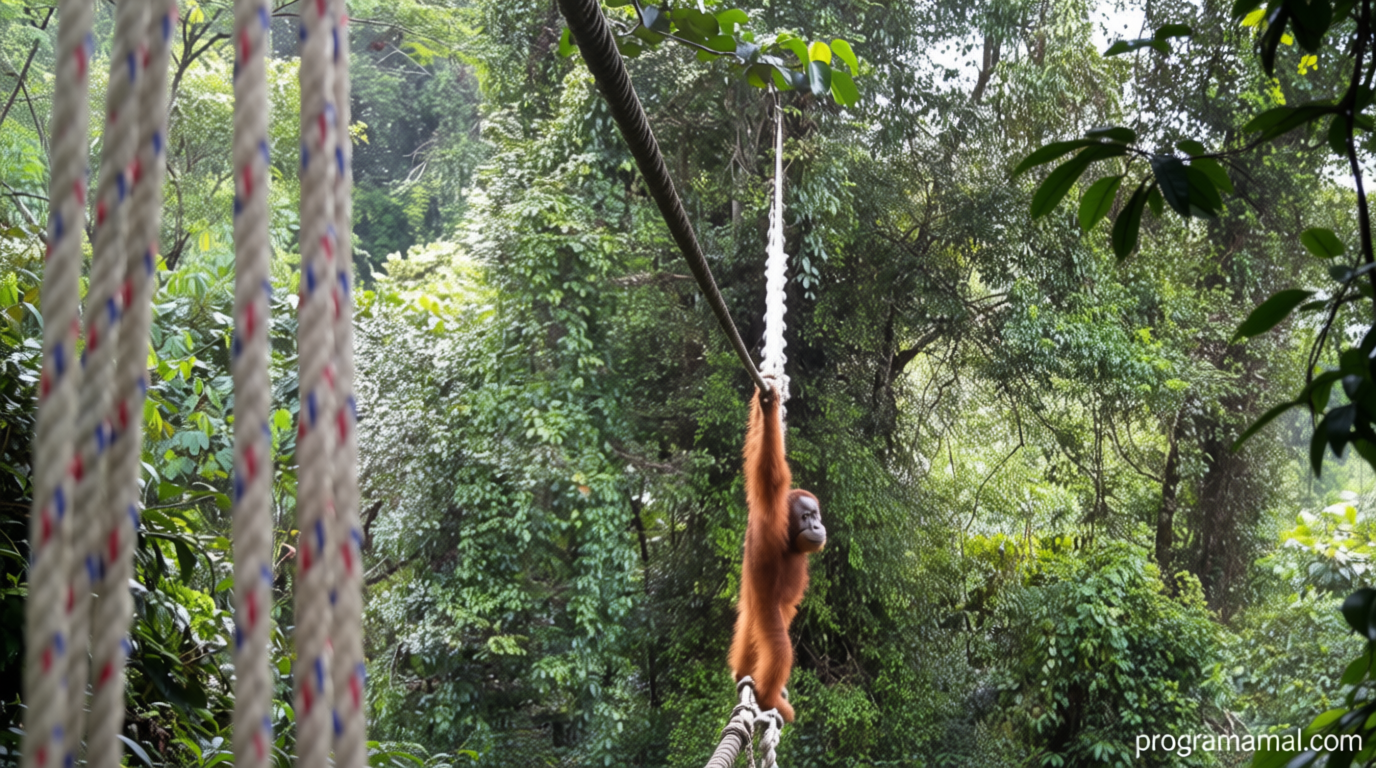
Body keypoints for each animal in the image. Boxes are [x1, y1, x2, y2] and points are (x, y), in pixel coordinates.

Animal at [728, 385, 825, 723]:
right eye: (807, 516)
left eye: (816, 515)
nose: (818, 525)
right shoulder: (771, 513)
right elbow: (769, 472)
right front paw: (769, 408)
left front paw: (764, 405)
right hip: (766, 614)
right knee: (780, 648)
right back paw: (768, 696)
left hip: (751, 614)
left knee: (748, 634)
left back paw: (743, 673)